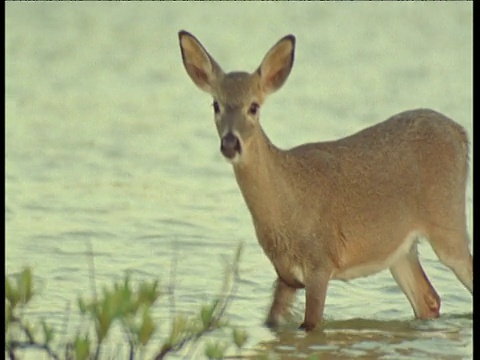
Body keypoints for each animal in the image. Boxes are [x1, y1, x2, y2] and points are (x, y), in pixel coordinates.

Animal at [179, 31, 472, 332]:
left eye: (254, 106)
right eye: (216, 104)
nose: (230, 144)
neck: (287, 202)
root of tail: (460, 132)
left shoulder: (320, 263)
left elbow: (311, 324)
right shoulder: (285, 274)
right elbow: (271, 323)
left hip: (448, 222)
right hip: (400, 250)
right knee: (428, 299)